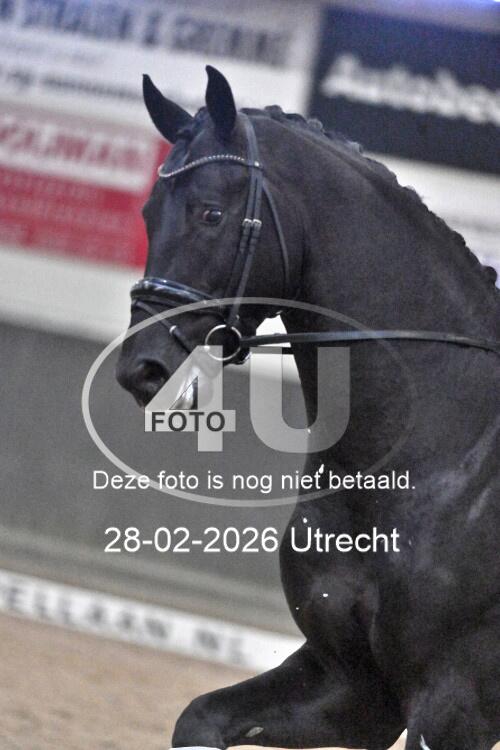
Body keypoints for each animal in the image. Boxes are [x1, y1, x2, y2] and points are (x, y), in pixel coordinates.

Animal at [116, 67, 500, 750]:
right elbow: (200, 719)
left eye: (211, 212)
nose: (142, 369)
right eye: (148, 212)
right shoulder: (351, 685)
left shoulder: (457, 702)